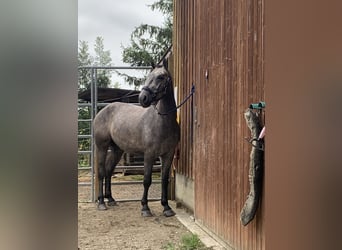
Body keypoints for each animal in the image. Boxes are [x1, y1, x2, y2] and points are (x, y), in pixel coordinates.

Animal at [92, 59, 180, 216]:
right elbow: (146, 180)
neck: (162, 121)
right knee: (101, 172)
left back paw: (111, 199)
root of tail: (102, 111)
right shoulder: (149, 155)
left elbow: (164, 180)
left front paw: (166, 207)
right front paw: (145, 208)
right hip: (101, 147)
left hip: (117, 150)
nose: (143, 98)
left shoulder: (168, 155)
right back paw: (101, 202)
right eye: (148, 76)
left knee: (108, 171)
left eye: (160, 77)